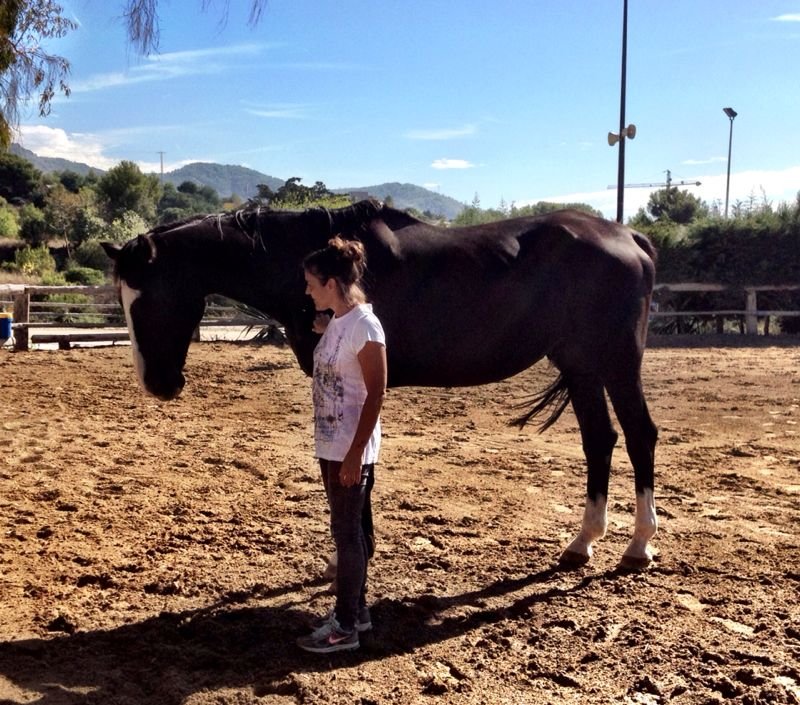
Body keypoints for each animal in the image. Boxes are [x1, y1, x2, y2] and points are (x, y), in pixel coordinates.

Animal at [102, 200, 659, 570]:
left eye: (147, 298)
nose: (158, 384)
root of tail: (629, 237)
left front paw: (351, 555)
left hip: (616, 361)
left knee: (639, 437)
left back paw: (638, 546)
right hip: (580, 365)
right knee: (599, 440)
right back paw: (582, 543)